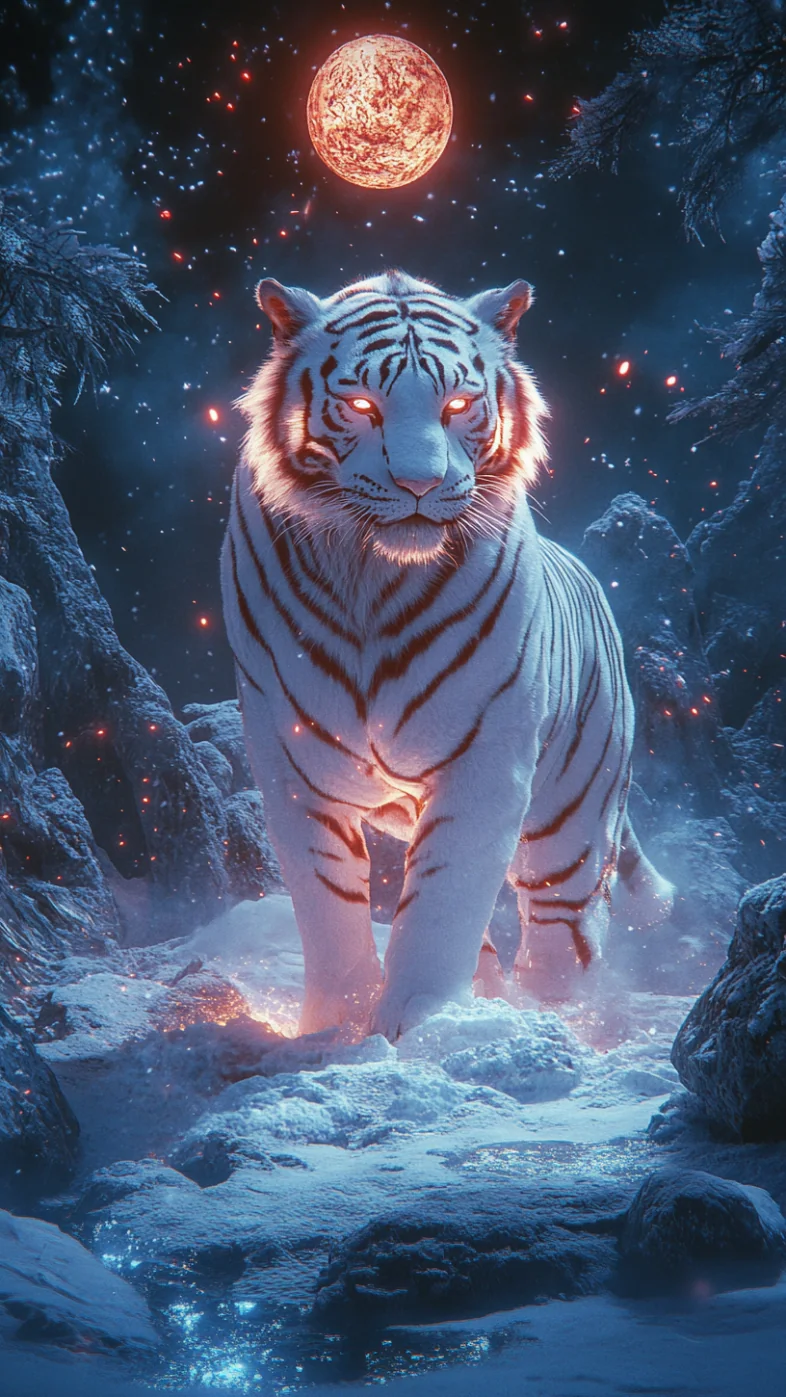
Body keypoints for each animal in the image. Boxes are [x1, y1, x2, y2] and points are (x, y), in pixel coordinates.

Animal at [220, 268, 673, 1042]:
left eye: (458, 403)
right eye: (361, 404)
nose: (419, 485)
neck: (369, 576)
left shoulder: (487, 753)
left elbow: (445, 900)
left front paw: (420, 1018)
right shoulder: (286, 749)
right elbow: (326, 900)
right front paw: (337, 1025)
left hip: (573, 819)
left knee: (564, 935)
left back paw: (550, 1016)